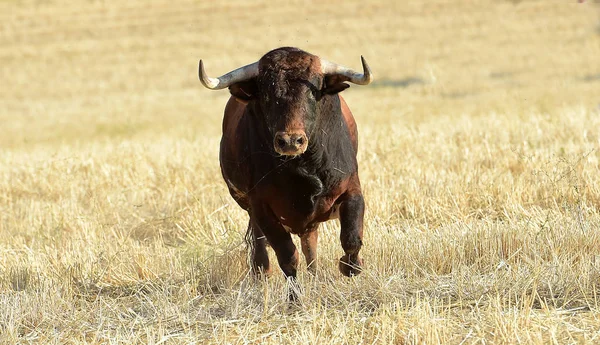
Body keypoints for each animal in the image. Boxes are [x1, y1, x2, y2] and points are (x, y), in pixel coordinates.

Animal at [199, 47, 372, 296]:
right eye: (267, 94)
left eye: (313, 90)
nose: (290, 141)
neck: (304, 168)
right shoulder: (262, 208)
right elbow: (287, 256)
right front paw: (294, 298)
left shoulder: (352, 191)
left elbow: (351, 240)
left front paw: (350, 266)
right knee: (262, 245)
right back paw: (261, 274)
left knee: (310, 244)